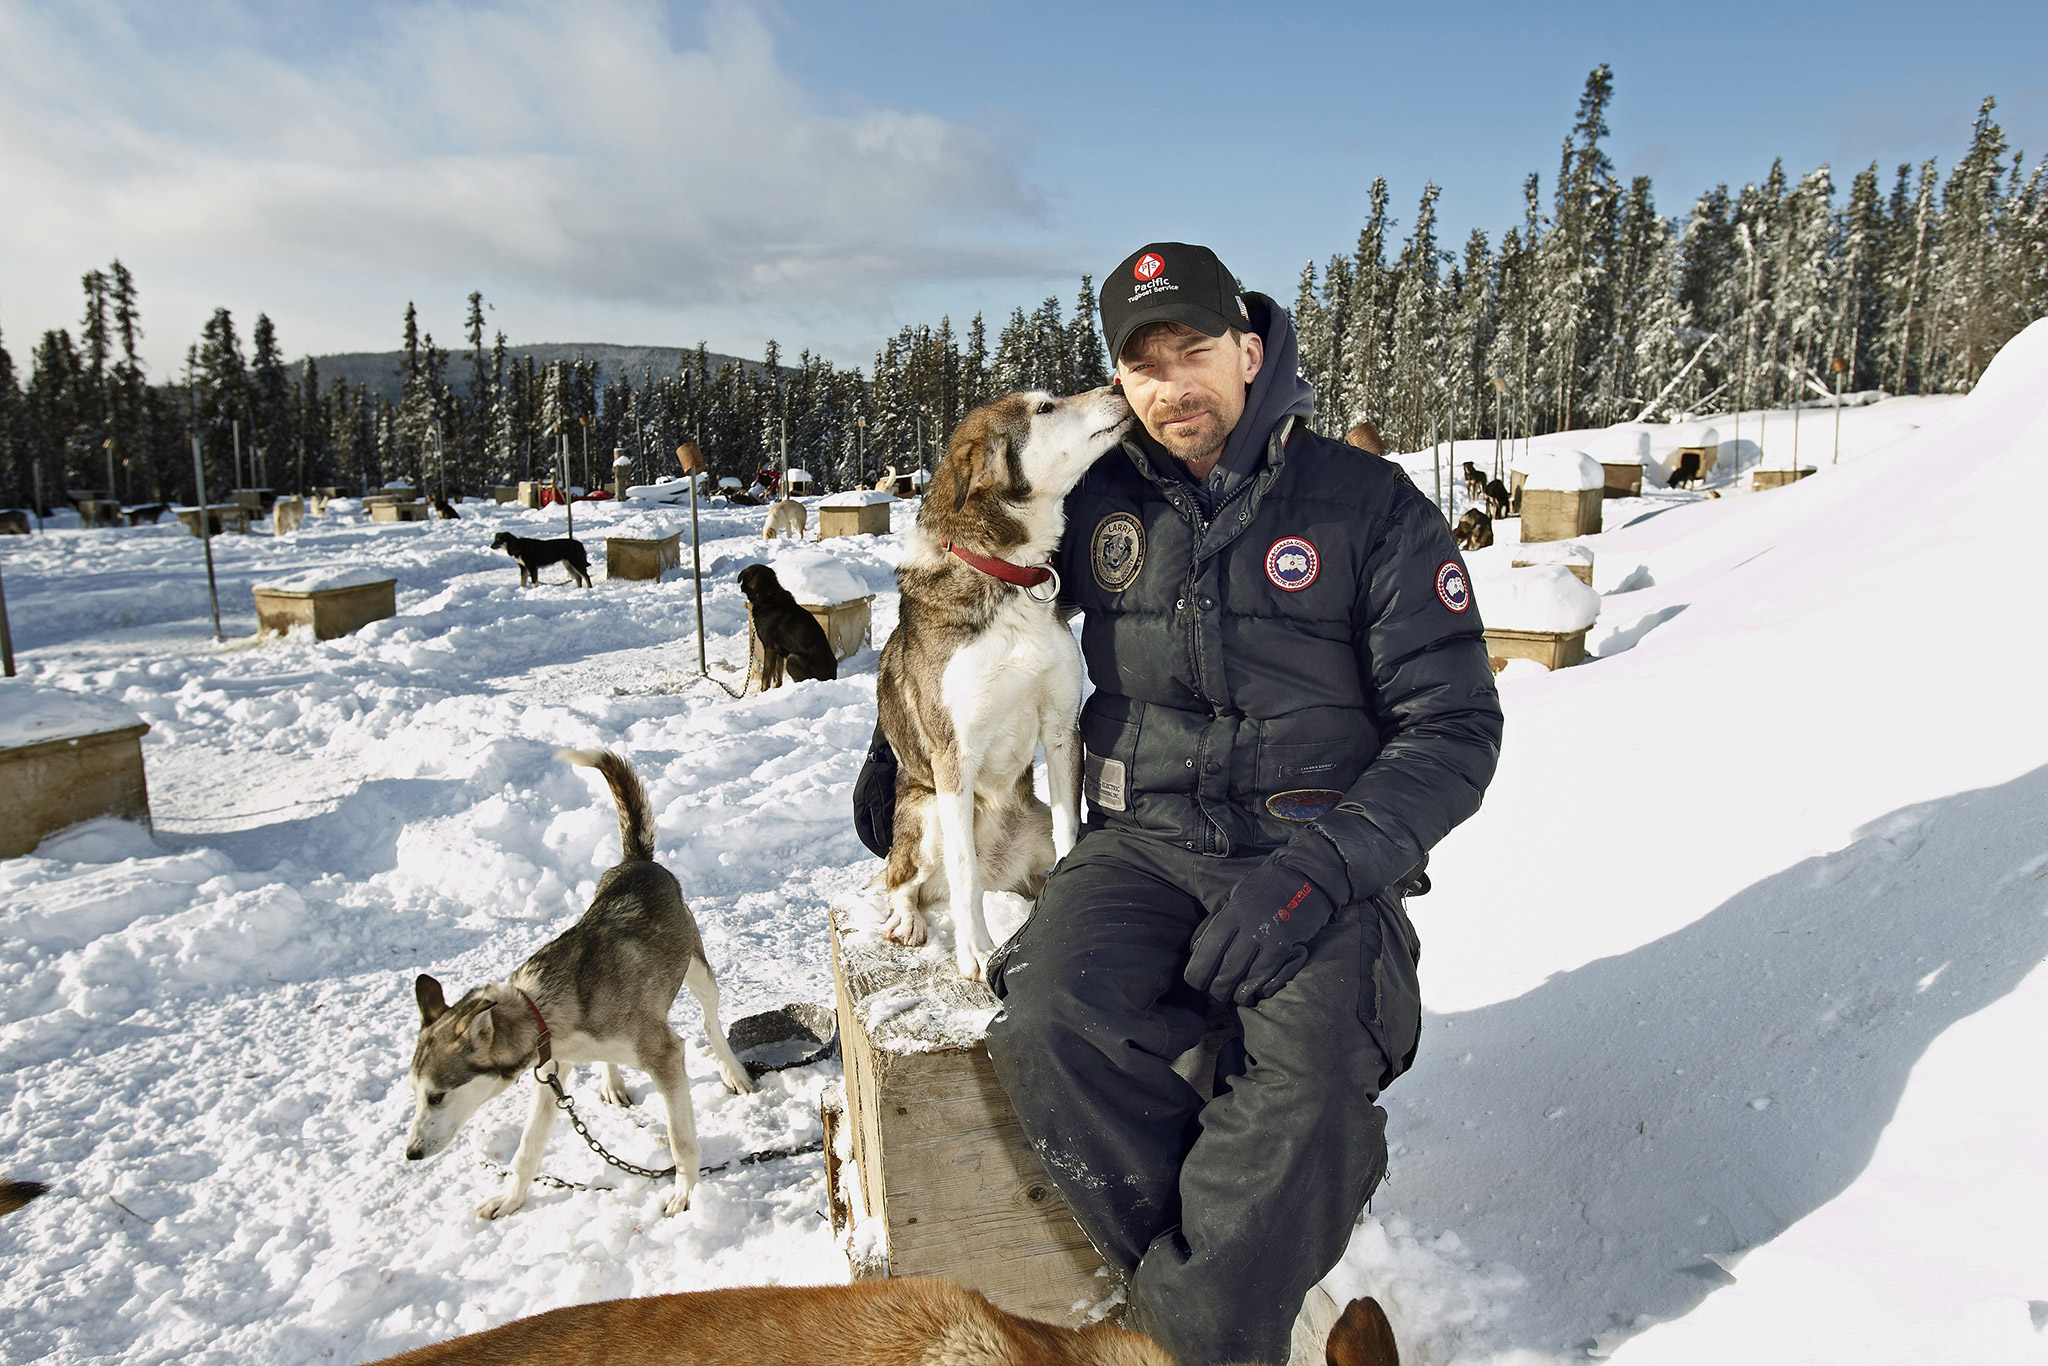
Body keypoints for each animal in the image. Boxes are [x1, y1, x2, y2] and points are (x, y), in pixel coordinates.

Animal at [399, 753, 753, 1220]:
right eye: (416, 1094)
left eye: (436, 1097)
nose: (412, 1153)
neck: (542, 1010)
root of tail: (636, 861)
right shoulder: (551, 1071)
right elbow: (527, 1147)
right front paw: (510, 1199)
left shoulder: (664, 1055)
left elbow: (681, 1142)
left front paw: (684, 1195)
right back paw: (613, 1083)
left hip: (697, 969)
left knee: (711, 1022)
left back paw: (733, 1072)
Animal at [876, 389, 1138, 978]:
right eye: (1045, 408)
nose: (1117, 386)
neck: (1007, 574)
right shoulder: (955, 758)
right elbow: (965, 873)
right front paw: (975, 950)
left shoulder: (1061, 727)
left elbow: (1070, 832)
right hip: (928, 814)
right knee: (901, 881)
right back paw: (910, 920)